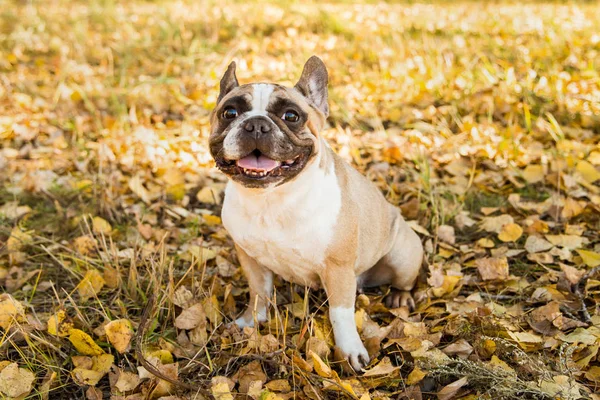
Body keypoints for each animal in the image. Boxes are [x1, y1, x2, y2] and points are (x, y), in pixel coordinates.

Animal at [209, 56, 424, 372]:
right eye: (230, 112)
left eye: (291, 116)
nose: (256, 125)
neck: (272, 199)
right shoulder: (249, 257)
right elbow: (258, 292)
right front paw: (250, 322)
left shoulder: (337, 268)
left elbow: (341, 314)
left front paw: (350, 351)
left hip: (403, 255)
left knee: (404, 280)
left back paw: (400, 297)